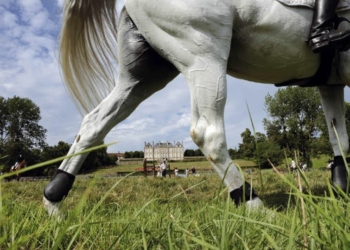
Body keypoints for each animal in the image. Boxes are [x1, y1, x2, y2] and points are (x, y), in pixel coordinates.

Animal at [43, 0, 350, 215]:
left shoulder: (331, 82)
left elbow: (339, 139)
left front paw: (341, 192)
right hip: (203, 56)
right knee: (207, 133)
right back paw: (256, 206)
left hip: (144, 74)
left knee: (94, 124)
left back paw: (53, 203)